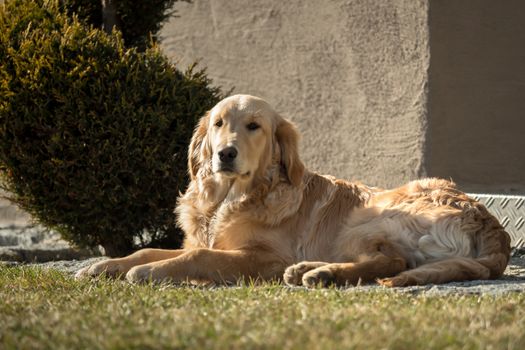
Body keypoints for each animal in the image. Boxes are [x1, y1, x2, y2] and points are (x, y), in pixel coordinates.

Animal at [75, 95, 510, 288]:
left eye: (254, 126)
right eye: (218, 123)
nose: (224, 153)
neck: (232, 199)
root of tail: (488, 219)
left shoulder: (265, 258)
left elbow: (198, 256)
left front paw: (148, 272)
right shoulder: (203, 238)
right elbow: (153, 248)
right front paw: (105, 265)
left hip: (367, 218)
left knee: (392, 261)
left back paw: (318, 273)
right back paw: (310, 270)